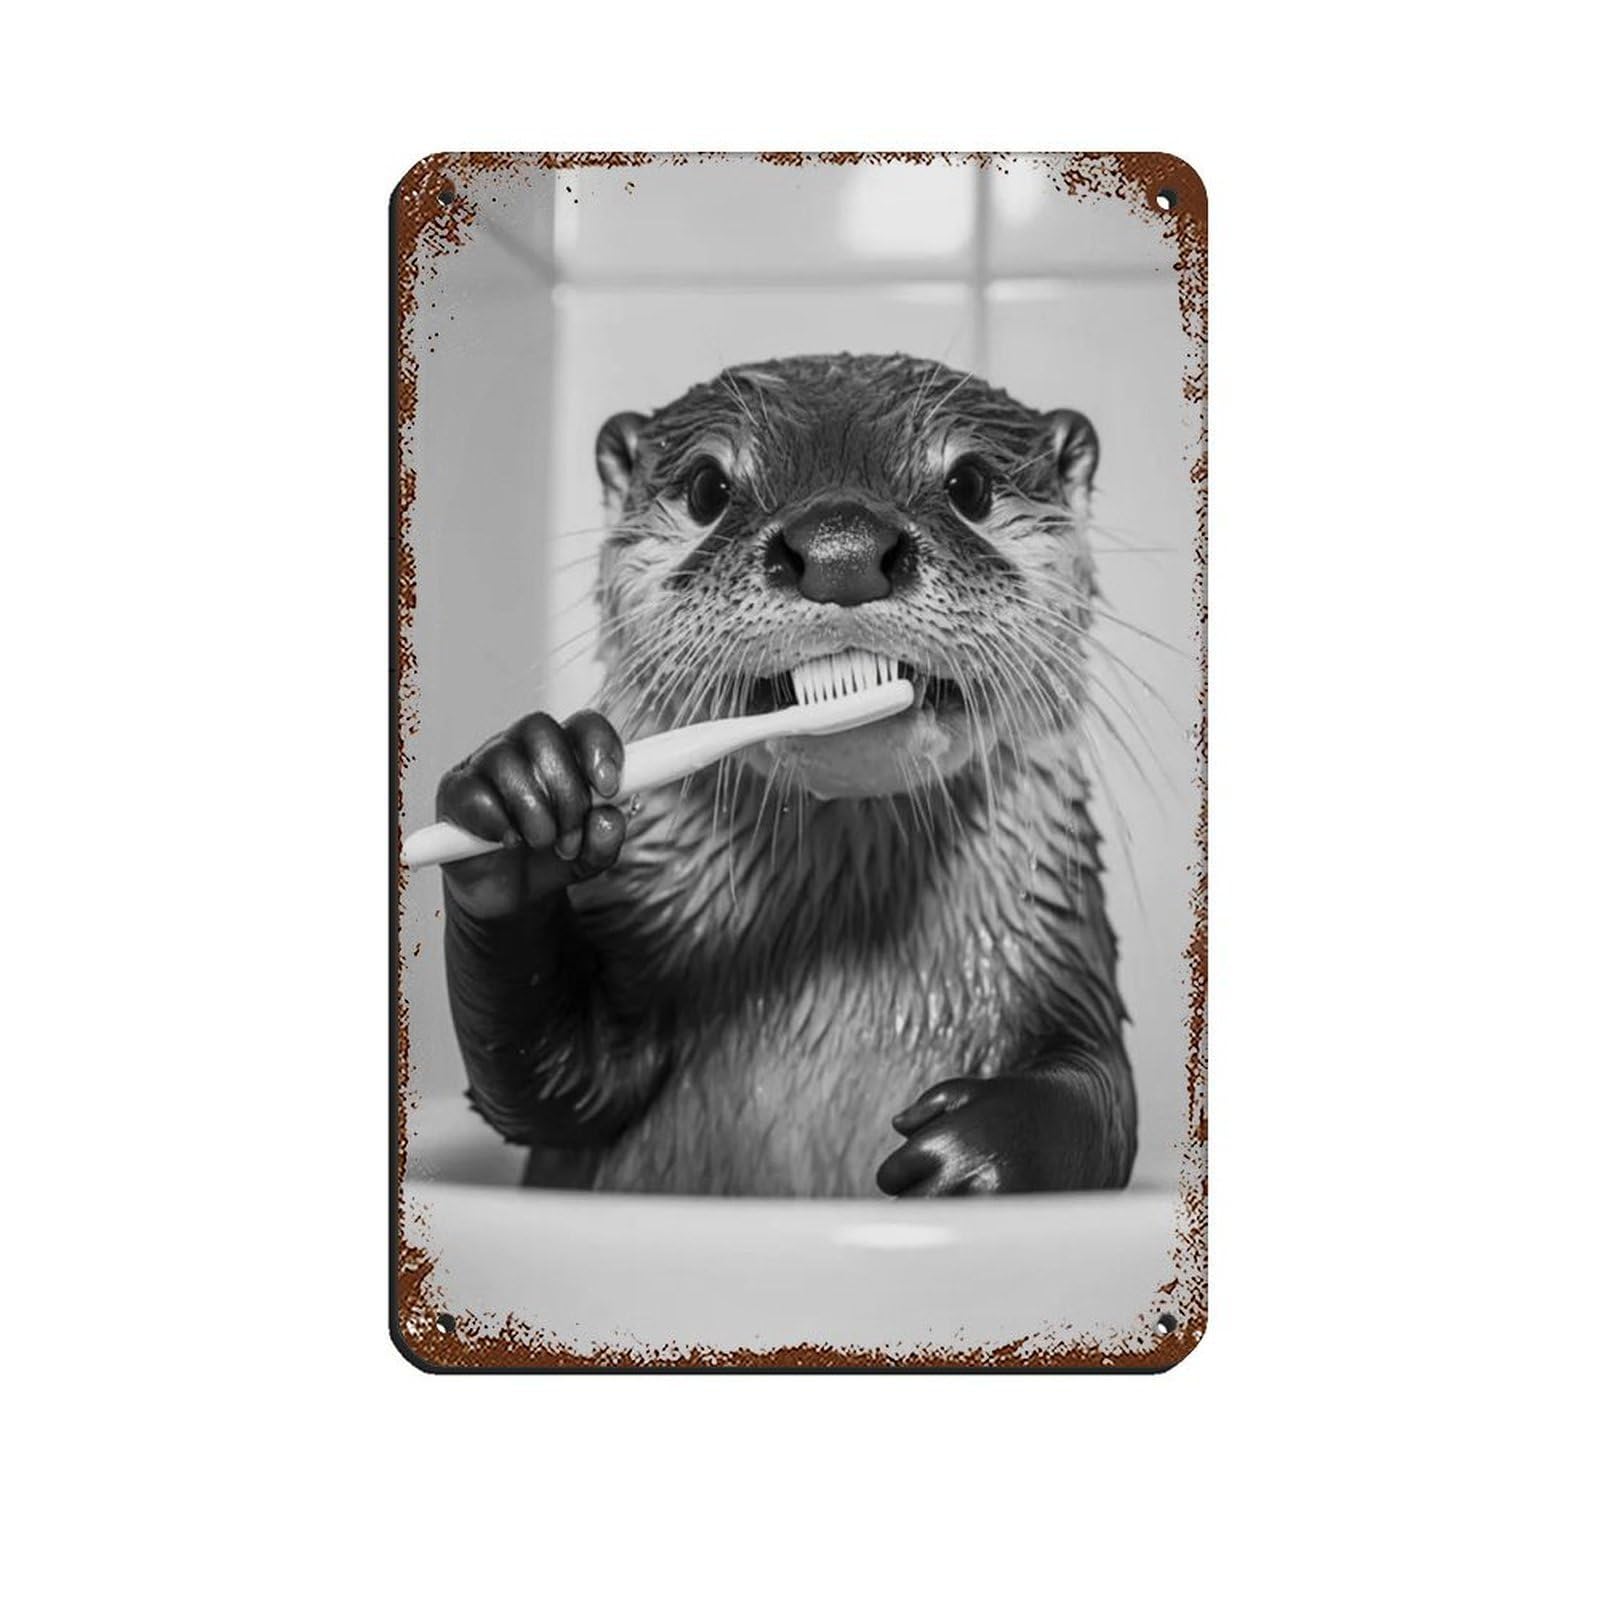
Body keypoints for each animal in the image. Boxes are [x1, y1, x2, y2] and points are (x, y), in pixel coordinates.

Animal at [435, 352, 1135, 1197]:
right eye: (708, 487)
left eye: (970, 484)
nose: (842, 549)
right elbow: (548, 1085)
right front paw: (521, 795)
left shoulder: (1064, 948)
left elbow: (1100, 1100)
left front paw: (971, 1153)